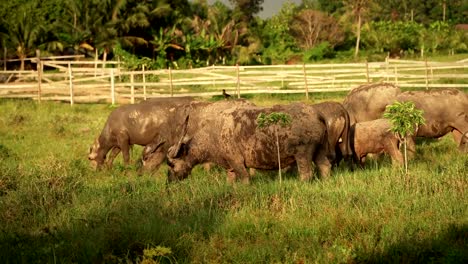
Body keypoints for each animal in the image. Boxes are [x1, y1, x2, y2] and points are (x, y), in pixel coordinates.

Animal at [165, 102, 332, 184]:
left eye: (172, 164)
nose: (169, 181)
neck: (214, 134)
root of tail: (317, 114)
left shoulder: (238, 162)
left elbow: (245, 179)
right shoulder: (230, 166)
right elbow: (230, 180)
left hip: (303, 153)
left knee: (306, 173)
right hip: (320, 150)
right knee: (325, 166)